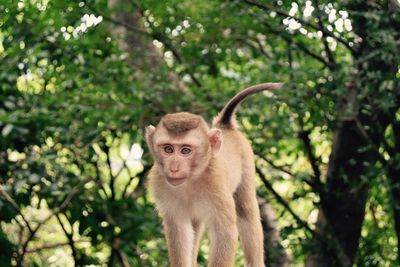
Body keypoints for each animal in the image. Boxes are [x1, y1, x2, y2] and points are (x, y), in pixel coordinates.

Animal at [145, 82, 282, 266]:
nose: (173, 168)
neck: (191, 180)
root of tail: (224, 126)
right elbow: (178, 229)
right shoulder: (160, 185)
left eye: (186, 150)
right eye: (168, 149)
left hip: (247, 160)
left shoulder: (216, 185)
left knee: (245, 210)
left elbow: (224, 231)